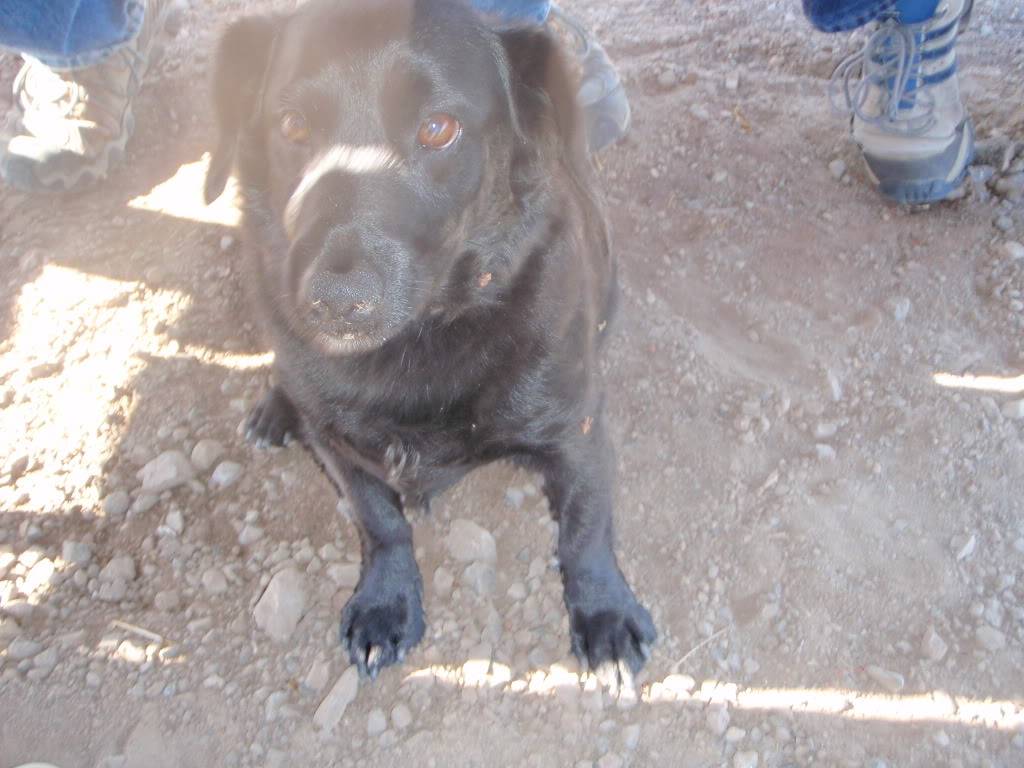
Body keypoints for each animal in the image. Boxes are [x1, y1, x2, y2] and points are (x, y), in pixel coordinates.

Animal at [205, 0, 655, 684]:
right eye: (292, 125)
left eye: (439, 128)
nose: (336, 300)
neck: (422, 339)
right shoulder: (338, 445)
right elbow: (381, 522)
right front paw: (386, 602)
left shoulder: (576, 432)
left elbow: (585, 529)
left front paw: (604, 614)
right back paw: (275, 407)